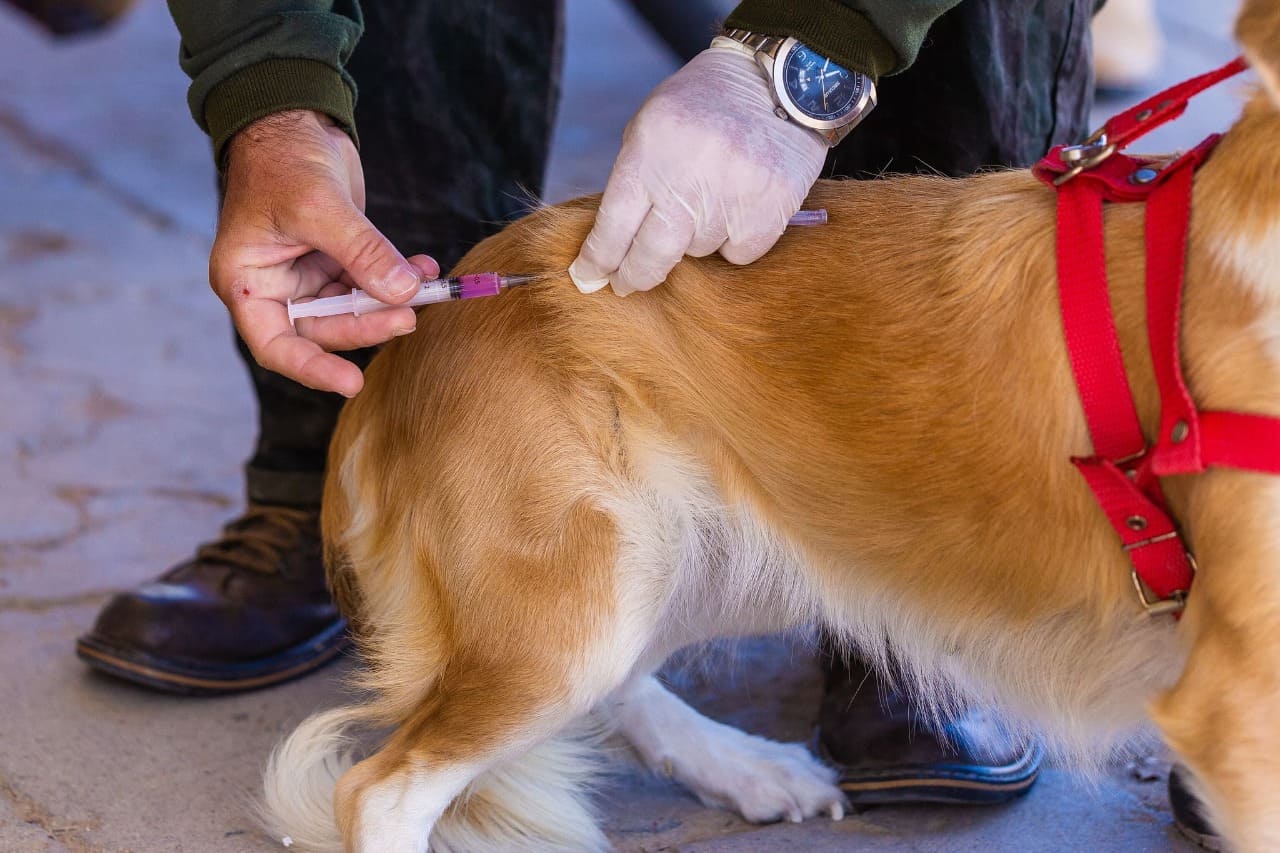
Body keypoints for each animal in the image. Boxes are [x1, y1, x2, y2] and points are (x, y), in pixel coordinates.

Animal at [262, 3, 1280, 845]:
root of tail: (414, 337)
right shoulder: (1233, 696)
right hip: (586, 590)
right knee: (384, 790)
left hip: (760, 543)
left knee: (618, 687)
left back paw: (747, 768)